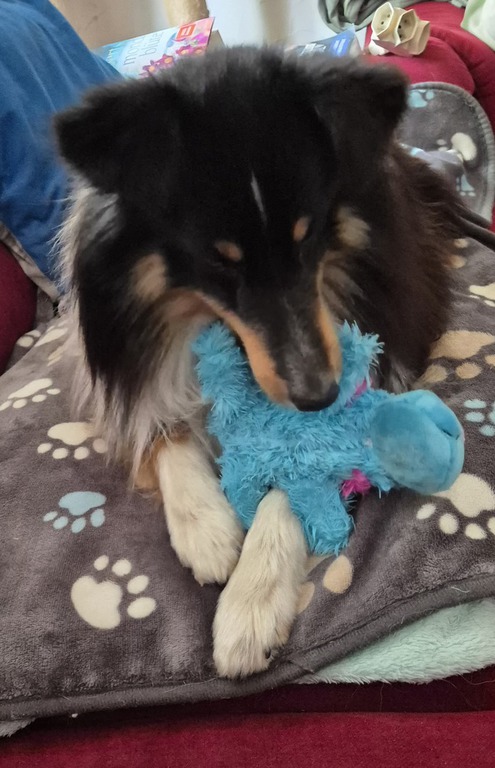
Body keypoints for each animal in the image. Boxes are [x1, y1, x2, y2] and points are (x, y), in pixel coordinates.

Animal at [55, 48, 463, 678]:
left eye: (310, 234)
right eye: (218, 262)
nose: (320, 395)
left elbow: (300, 476)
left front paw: (249, 607)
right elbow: (163, 427)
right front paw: (209, 534)